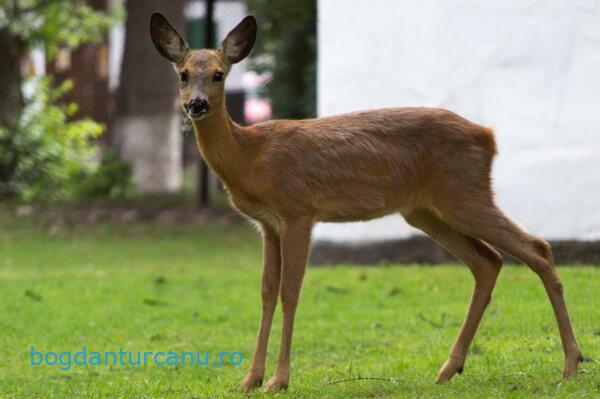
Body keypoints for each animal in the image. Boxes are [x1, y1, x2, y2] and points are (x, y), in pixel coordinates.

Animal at [149, 13, 580, 394]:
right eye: (183, 74)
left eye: (219, 74)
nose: (197, 105)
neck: (250, 156)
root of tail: (488, 136)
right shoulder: (267, 224)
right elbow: (267, 292)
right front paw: (250, 380)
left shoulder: (298, 210)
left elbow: (291, 291)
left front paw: (278, 380)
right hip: (426, 211)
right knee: (488, 261)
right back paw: (449, 369)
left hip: (465, 195)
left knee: (537, 249)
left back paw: (571, 365)